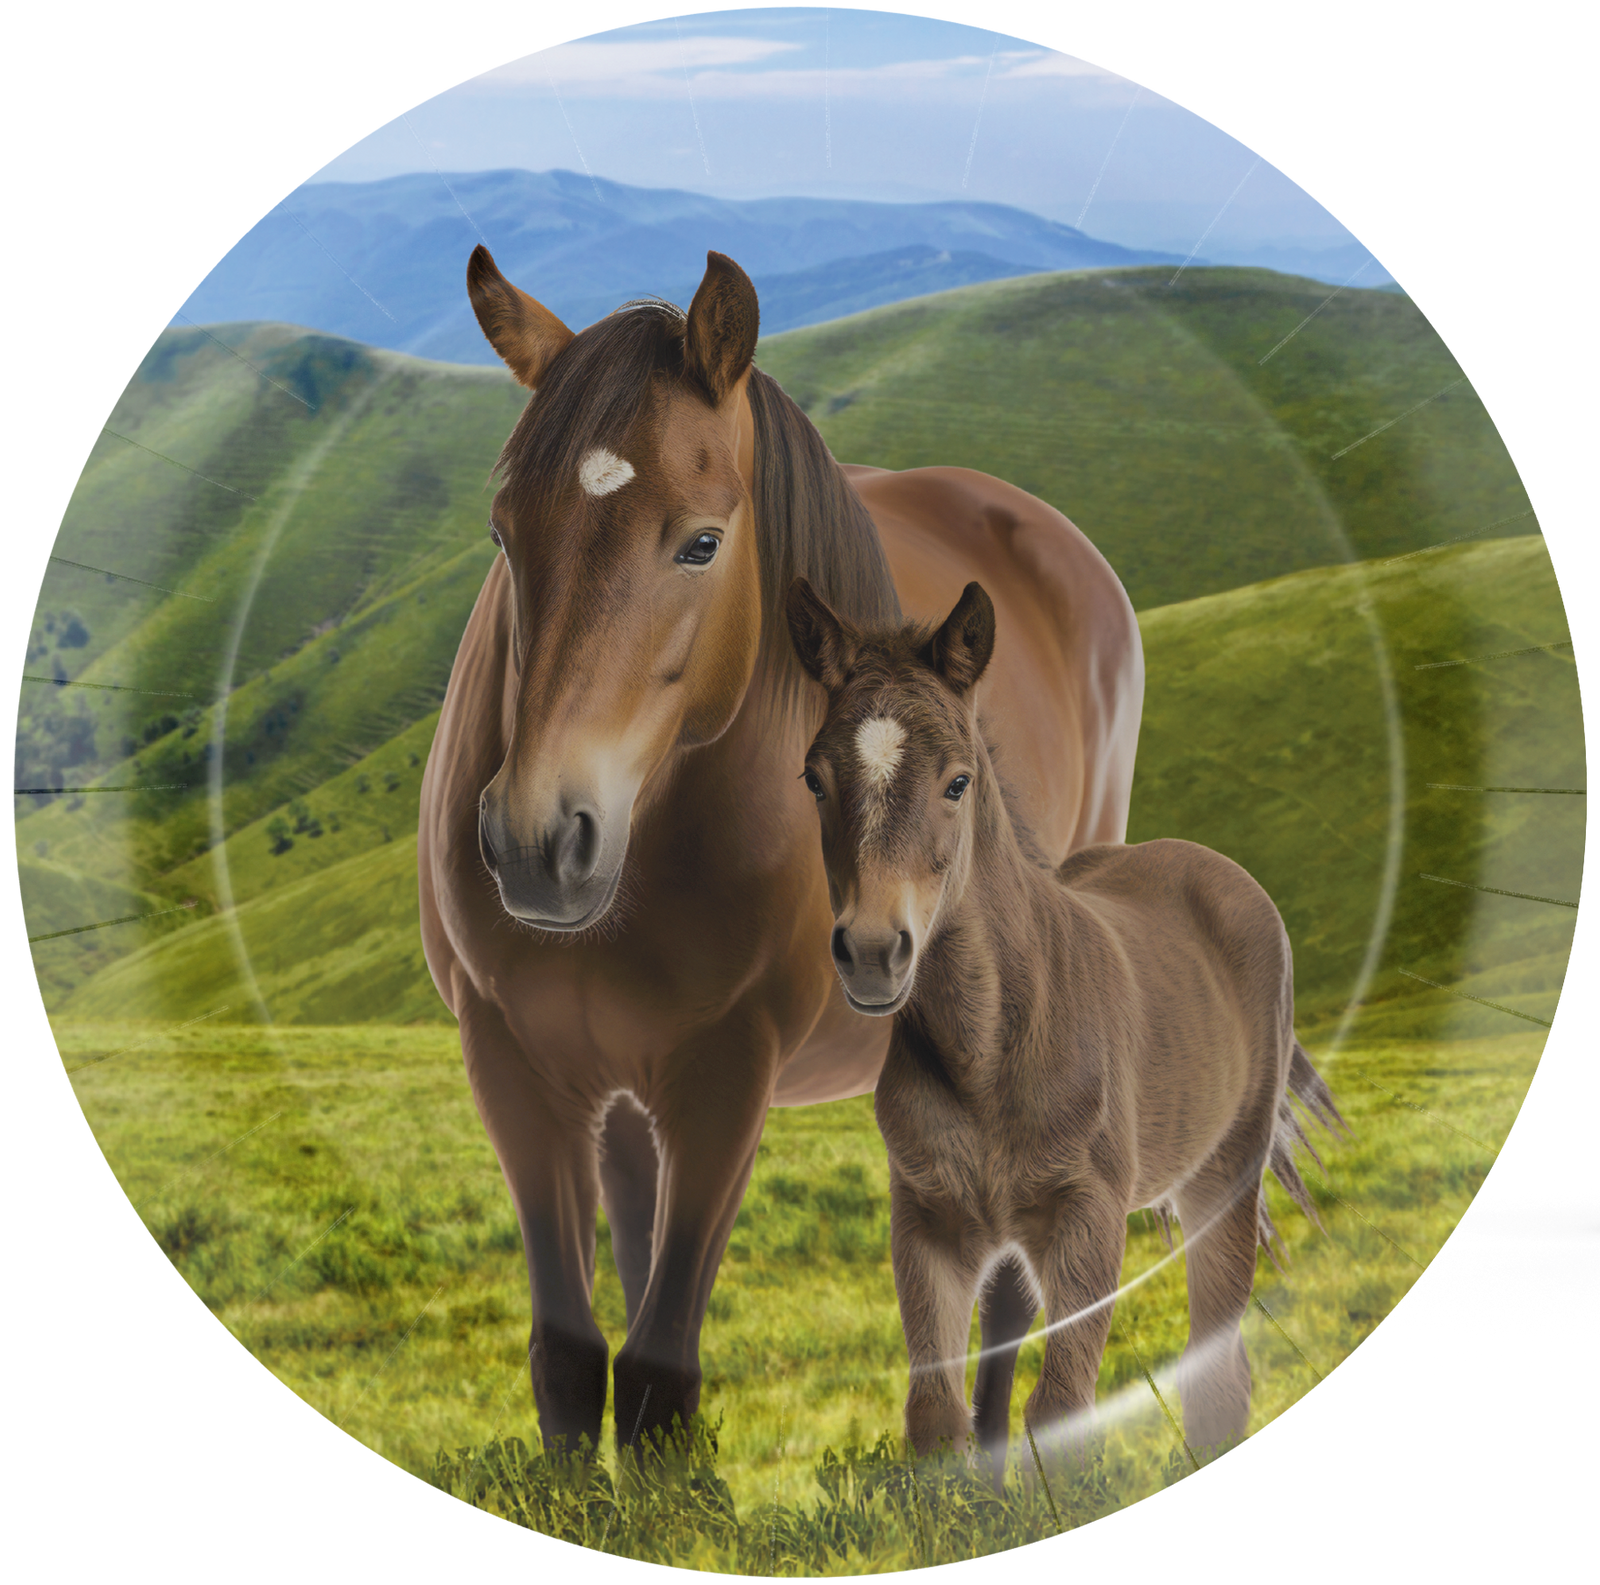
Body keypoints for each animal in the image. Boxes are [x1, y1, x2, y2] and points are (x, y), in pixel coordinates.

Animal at [417, 246, 1146, 1459]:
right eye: (504, 532)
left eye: (702, 541)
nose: (535, 842)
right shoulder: (515, 1060)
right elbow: (572, 1363)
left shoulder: (728, 1071)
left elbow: (655, 1375)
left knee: (1012, 1284)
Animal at [782, 575, 1349, 1483]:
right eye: (813, 777)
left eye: (958, 782)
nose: (871, 953)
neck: (988, 1047)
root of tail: (1215, 867)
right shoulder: (928, 1222)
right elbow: (937, 1414)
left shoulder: (1089, 1215)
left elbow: (1063, 1411)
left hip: (1220, 1177)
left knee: (1216, 1371)